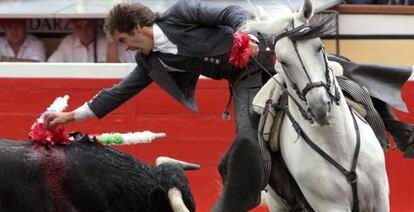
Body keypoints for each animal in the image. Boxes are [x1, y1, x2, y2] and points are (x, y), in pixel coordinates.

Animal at [247, 0, 390, 211]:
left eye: (319, 47)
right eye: (283, 61)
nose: (320, 107)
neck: (338, 145)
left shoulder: (380, 197)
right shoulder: (330, 205)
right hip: (278, 203)